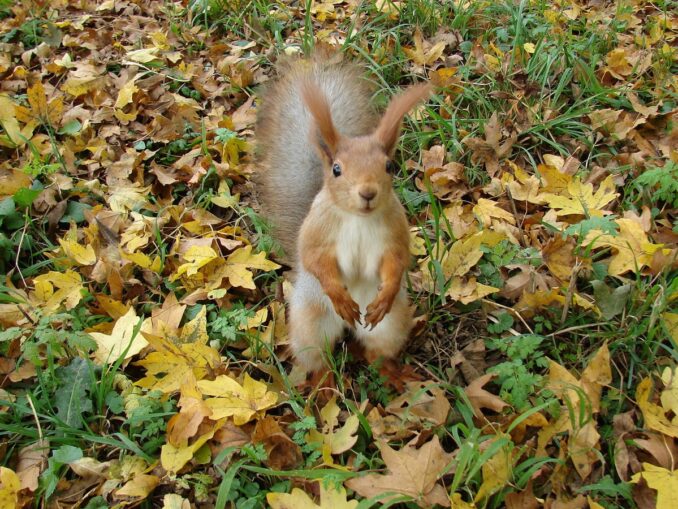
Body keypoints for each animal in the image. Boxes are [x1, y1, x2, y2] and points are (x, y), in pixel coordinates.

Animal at [256, 53, 431, 373]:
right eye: (337, 169)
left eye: (389, 166)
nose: (368, 192)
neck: (357, 219)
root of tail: (349, 328)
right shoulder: (317, 230)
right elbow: (314, 258)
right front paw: (339, 295)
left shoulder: (396, 230)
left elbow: (397, 259)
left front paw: (386, 294)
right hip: (310, 325)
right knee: (318, 358)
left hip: (389, 327)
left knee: (378, 352)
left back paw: (391, 374)